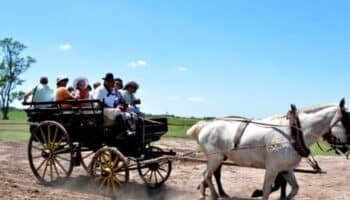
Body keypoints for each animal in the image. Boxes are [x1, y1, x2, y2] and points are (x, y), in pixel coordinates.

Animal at [187, 100, 348, 200]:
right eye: (348, 121)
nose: (346, 148)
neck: (291, 133)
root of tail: (206, 125)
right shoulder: (272, 169)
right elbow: (266, 191)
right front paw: (257, 192)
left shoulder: (286, 169)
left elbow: (294, 188)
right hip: (215, 158)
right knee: (206, 175)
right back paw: (205, 194)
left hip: (218, 158)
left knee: (209, 175)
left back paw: (214, 194)